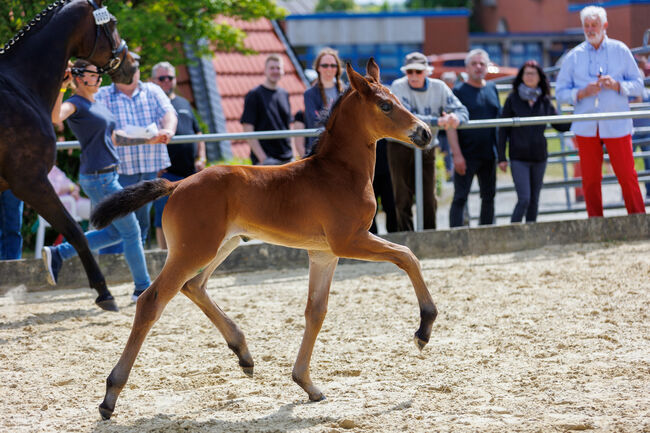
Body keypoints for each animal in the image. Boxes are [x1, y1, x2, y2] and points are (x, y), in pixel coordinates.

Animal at [0, 0, 135, 310]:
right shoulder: (31, 181)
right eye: (112, 23)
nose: (132, 65)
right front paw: (104, 293)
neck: (19, 87)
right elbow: (74, 231)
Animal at [91, 57, 436, 416]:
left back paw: (243, 354)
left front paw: (306, 383)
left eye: (399, 101)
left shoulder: (324, 253)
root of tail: (178, 184)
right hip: (193, 251)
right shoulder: (350, 240)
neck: (338, 173)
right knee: (152, 301)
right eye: (385, 105)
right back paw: (110, 395)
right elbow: (407, 256)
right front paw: (423, 329)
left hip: (221, 245)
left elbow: (316, 311)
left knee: (194, 286)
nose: (424, 133)